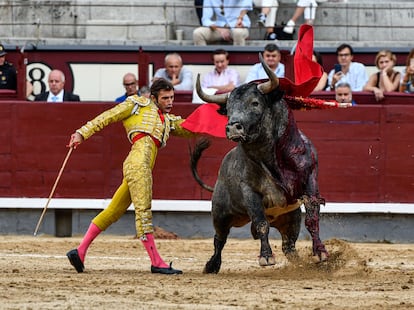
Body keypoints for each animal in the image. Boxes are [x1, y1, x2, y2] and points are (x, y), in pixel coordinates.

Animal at [191, 54, 330, 274]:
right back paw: (212, 265)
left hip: (290, 219)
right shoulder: (250, 192)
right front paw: (266, 257)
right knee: (219, 239)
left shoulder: (310, 180)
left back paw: (298, 263)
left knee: (289, 245)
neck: (272, 156)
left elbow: (312, 219)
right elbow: (261, 223)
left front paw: (320, 253)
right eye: (229, 109)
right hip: (220, 214)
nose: (232, 127)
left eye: (255, 103)